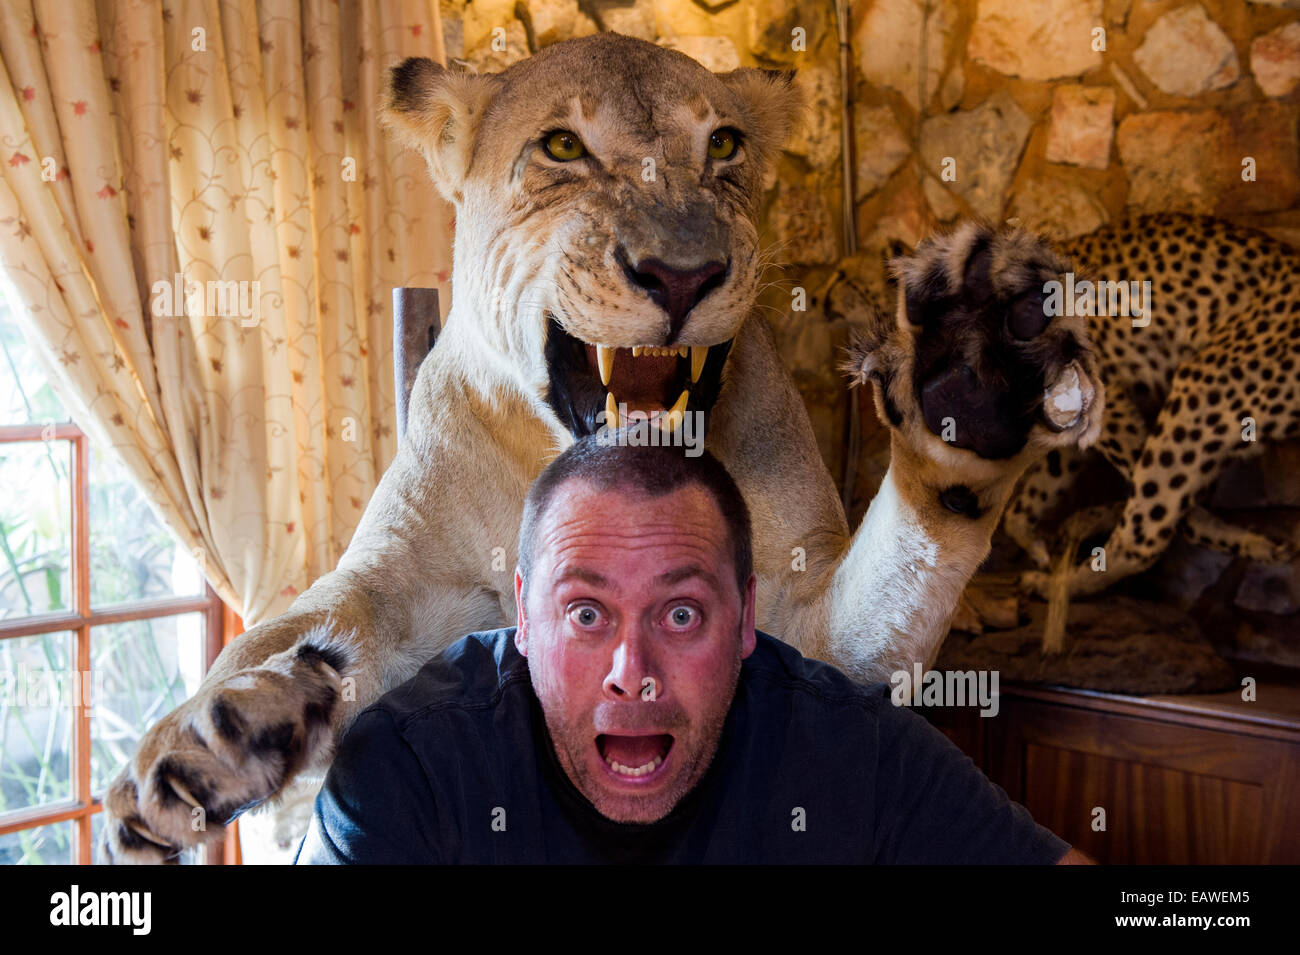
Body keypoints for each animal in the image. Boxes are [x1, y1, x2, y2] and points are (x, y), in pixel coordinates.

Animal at [1003, 214, 1300, 597]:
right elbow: (1033, 495)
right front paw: (1032, 539)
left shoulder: (1105, 395)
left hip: (1205, 383)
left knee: (1144, 537)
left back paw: (1060, 584)